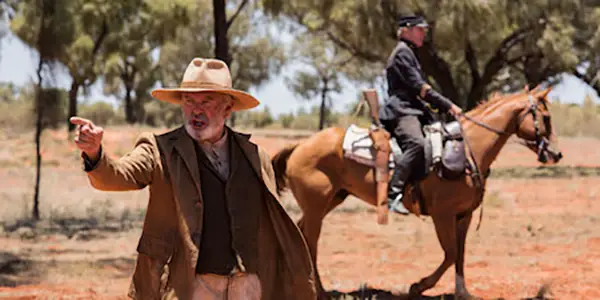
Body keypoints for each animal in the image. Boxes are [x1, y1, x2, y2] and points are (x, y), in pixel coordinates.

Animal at [272, 87, 564, 300]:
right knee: (310, 240)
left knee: (300, 232)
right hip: (317, 206)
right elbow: (449, 254)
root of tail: (301, 145)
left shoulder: (463, 215)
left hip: (329, 201)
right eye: (546, 118)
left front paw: (462, 292)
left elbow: (460, 254)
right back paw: (319, 291)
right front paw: (418, 286)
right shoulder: (442, 215)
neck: (469, 149)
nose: (556, 154)